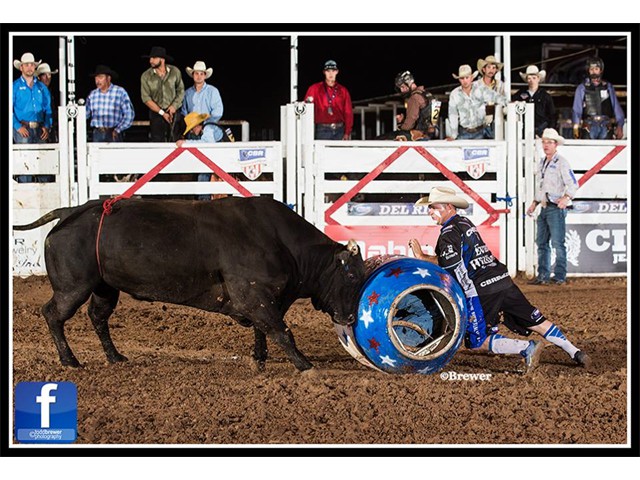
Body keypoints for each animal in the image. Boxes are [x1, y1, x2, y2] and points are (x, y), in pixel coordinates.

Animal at [13, 197, 364, 374]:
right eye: (351, 276)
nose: (350, 318)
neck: (284, 243)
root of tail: (70, 212)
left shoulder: (263, 299)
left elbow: (263, 330)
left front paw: (260, 359)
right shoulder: (254, 295)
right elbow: (281, 331)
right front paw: (306, 366)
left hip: (104, 287)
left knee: (98, 317)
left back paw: (115, 357)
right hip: (73, 287)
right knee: (53, 314)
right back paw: (70, 360)